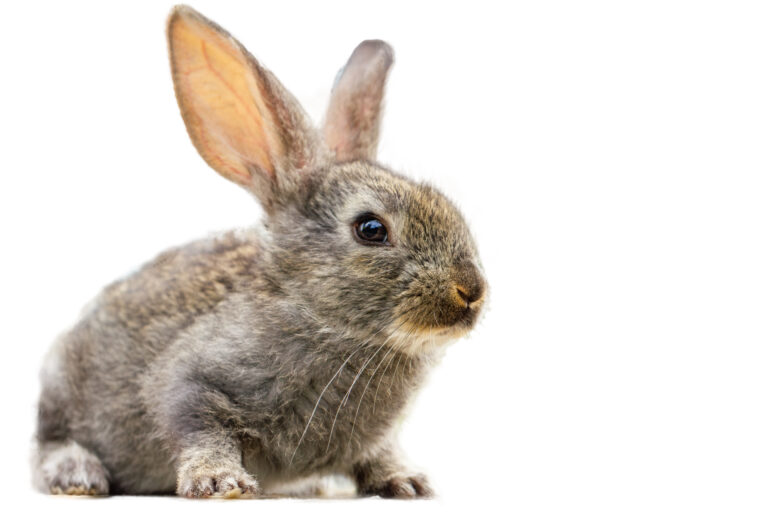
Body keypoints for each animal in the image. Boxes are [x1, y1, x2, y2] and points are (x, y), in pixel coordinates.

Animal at [33, 5, 486, 500]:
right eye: (371, 229)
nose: (471, 290)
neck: (321, 320)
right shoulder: (191, 381)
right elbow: (199, 426)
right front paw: (220, 482)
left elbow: (379, 453)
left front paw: (408, 481)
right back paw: (77, 474)